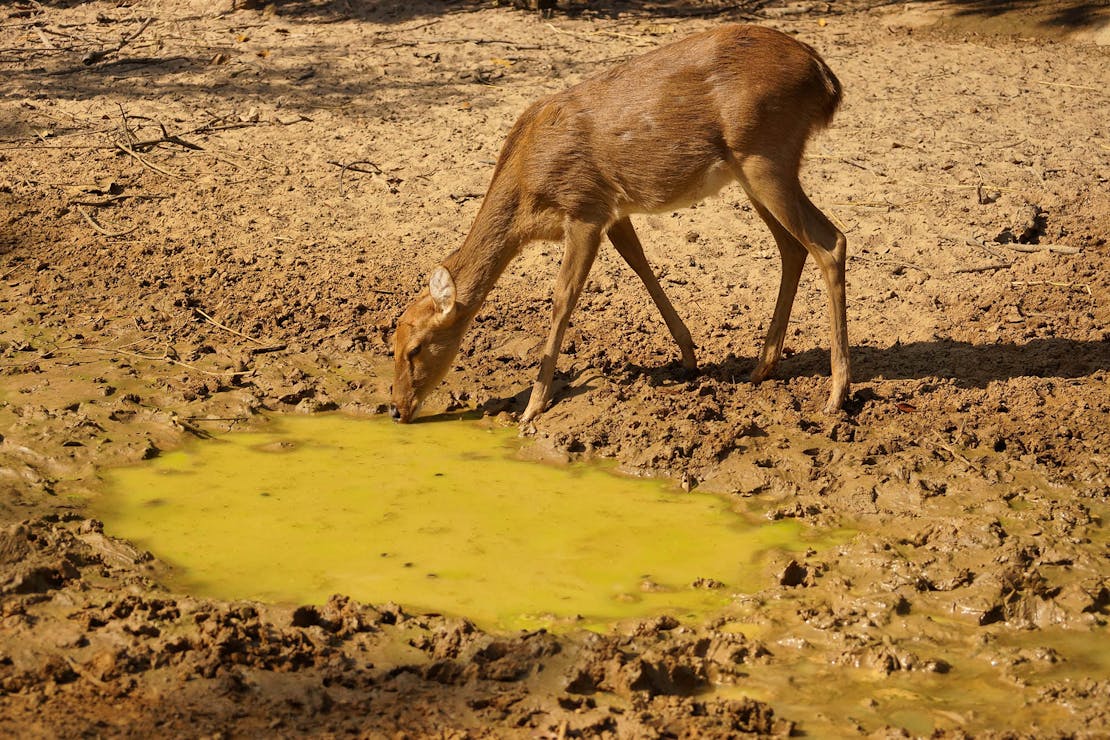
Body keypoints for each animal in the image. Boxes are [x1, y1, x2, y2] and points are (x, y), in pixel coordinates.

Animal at [390, 23, 848, 426]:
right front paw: (688, 355)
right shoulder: (615, 211)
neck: (527, 188)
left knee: (830, 242)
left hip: (765, 156)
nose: (396, 409)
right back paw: (762, 367)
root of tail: (825, 78)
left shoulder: (584, 208)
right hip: (753, 170)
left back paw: (836, 394)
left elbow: (563, 297)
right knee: (793, 247)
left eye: (415, 348)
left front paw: (533, 406)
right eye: (391, 342)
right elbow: (639, 262)